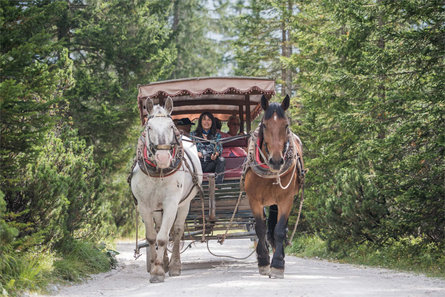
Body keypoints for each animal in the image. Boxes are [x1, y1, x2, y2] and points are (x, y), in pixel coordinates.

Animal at [130, 97, 203, 282]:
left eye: (171, 126)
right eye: (149, 127)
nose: (163, 157)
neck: (159, 171)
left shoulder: (171, 203)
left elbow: (163, 238)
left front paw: (157, 272)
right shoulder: (144, 205)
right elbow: (152, 237)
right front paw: (157, 264)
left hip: (184, 204)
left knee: (176, 231)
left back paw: (175, 265)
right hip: (158, 208)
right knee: (159, 229)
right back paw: (164, 261)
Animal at [245, 95, 304, 278]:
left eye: (286, 125)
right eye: (264, 124)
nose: (276, 161)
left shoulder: (286, 199)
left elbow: (279, 229)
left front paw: (278, 264)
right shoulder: (254, 200)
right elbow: (260, 229)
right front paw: (264, 261)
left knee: (279, 228)